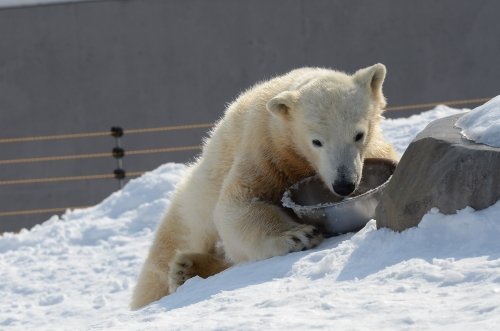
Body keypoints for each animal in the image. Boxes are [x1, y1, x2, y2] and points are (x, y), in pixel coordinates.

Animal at [130, 64, 398, 308]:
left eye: (359, 134)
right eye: (317, 141)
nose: (344, 184)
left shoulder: (373, 149)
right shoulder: (266, 151)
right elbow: (238, 204)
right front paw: (299, 235)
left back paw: (186, 268)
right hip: (191, 207)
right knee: (164, 258)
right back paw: (179, 273)